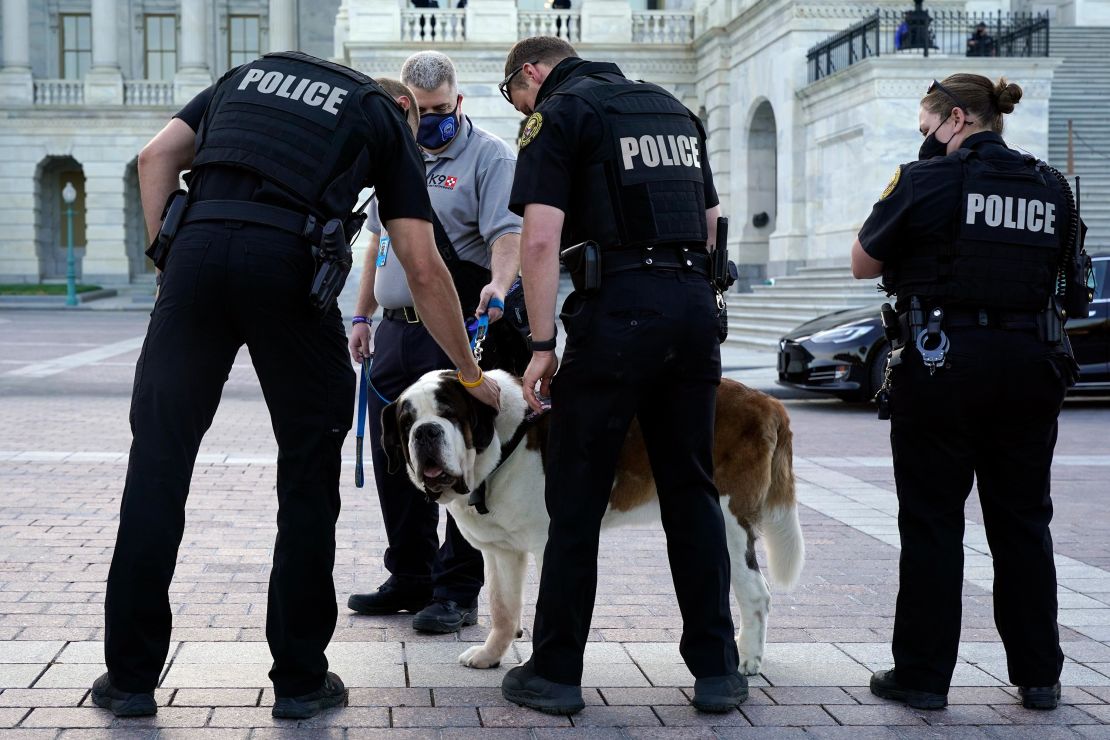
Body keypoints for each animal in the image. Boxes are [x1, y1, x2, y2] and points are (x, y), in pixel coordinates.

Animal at [377, 370, 803, 678]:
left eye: (449, 413)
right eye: (407, 422)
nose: (426, 432)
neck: (497, 446)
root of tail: (767, 401)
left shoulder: (548, 541)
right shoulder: (502, 551)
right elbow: (502, 607)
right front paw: (490, 655)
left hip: (728, 521)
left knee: (756, 592)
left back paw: (746, 660)